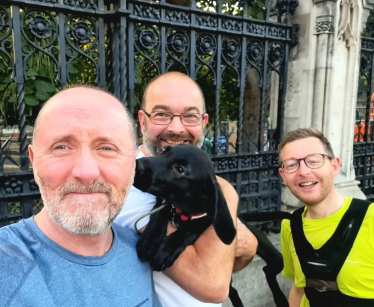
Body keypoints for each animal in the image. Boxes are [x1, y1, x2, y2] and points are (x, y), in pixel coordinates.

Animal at [133, 144, 235, 272]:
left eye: (180, 169)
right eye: (164, 150)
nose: (136, 164)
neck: (181, 211)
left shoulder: (205, 219)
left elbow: (191, 230)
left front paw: (166, 251)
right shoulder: (163, 201)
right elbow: (158, 214)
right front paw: (149, 241)